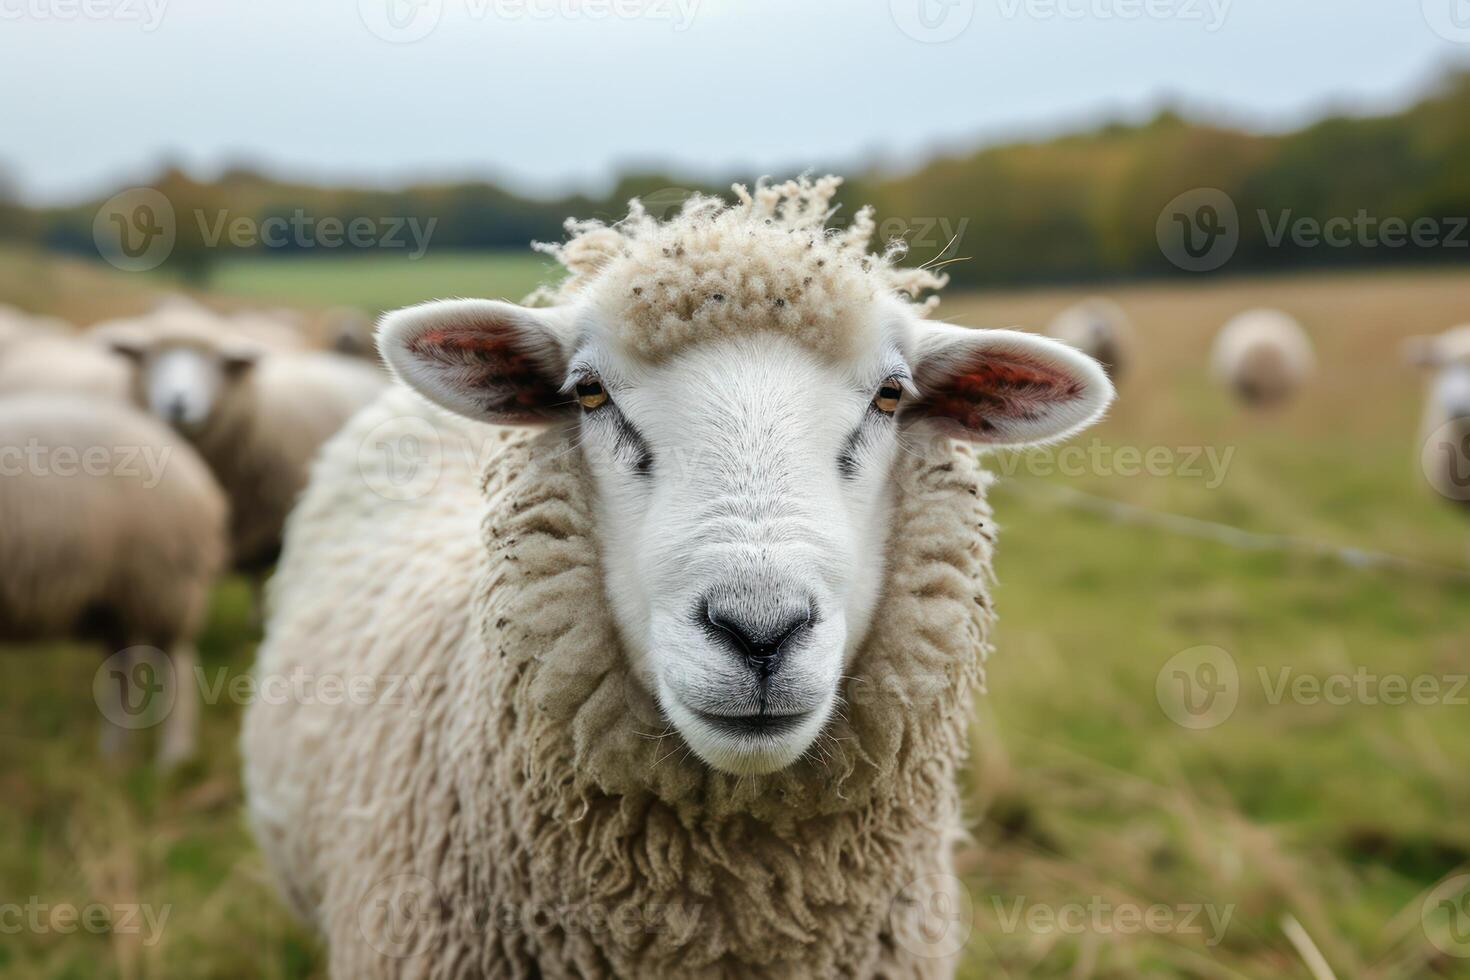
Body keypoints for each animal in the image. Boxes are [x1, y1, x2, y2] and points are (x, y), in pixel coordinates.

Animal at [0, 390, 226, 764]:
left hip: (163, 581)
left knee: (177, 665)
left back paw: (173, 756)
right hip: (115, 598)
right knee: (124, 672)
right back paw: (114, 757)